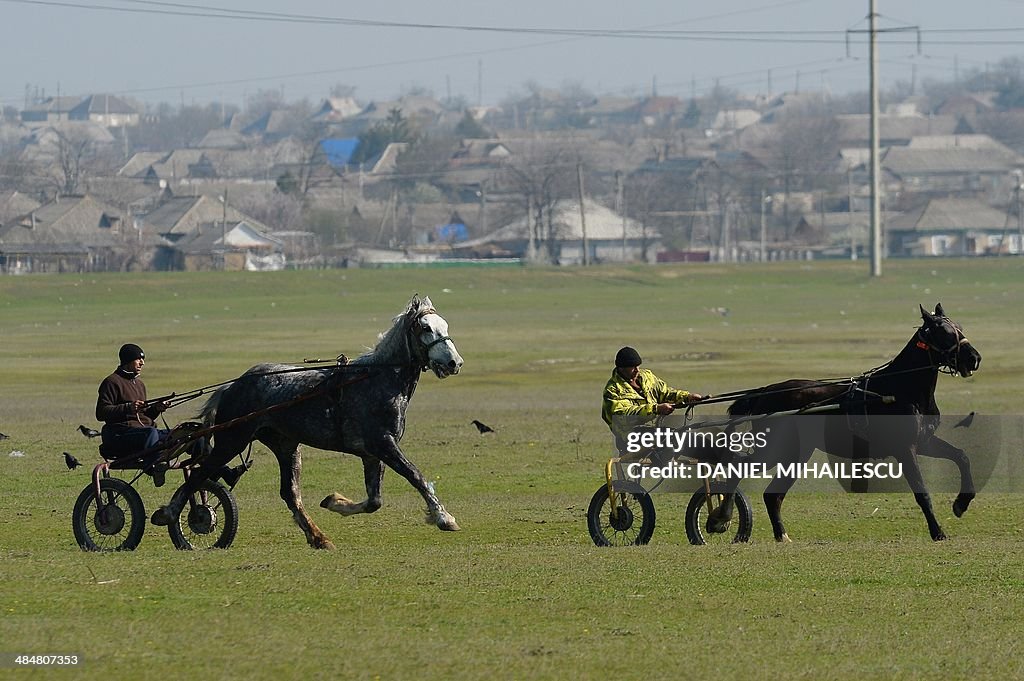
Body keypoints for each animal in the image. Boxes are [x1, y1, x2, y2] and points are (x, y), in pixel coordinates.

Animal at [149, 294, 464, 548]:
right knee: (199, 474)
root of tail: (233, 386)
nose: (454, 363)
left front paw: (335, 502)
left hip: (286, 446)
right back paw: (173, 513)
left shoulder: (372, 453)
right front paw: (443, 517)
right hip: (232, 440)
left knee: (289, 493)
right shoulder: (383, 445)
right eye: (425, 328)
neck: (377, 380)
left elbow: (375, 501)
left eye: (446, 326)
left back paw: (318, 537)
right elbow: (416, 476)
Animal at [724, 303, 978, 540]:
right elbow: (922, 492)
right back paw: (722, 518)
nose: (974, 358)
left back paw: (781, 535)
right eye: (943, 331)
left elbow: (961, 456)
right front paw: (938, 531)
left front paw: (961, 503)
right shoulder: (905, 448)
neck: (900, 389)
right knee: (739, 467)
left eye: (959, 327)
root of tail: (765, 391)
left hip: (795, 453)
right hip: (775, 449)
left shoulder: (923, 442)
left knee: (772, 494)